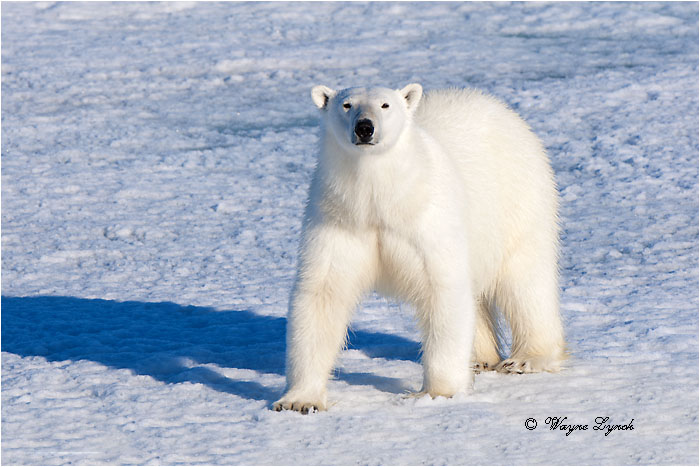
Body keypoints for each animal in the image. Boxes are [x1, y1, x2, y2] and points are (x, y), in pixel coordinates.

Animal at [273, 83, 566, 413]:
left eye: (385, 105)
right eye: (346, 105)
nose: (365, 128)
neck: (380, 200)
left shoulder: (427, 221)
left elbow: (442, 287)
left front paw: (438, 392)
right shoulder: (339, 221)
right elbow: (322, 294)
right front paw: (299, 401)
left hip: (518, 199)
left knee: (524, 280)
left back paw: (527, 358)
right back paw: (479, 359)